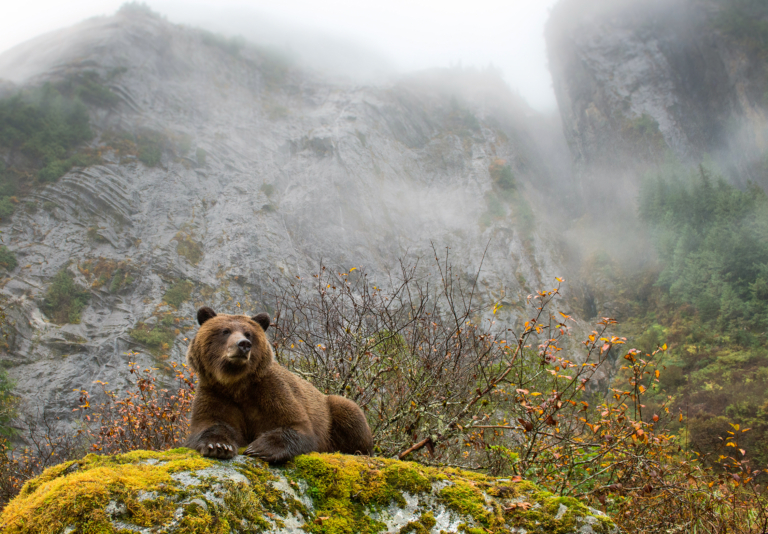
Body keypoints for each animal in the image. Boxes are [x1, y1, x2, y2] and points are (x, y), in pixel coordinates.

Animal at [182, 308, 370, 462]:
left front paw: (260, 448)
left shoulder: (271, 391)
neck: (236, 383)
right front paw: (219, 446)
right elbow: (210, 422)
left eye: (248, 333)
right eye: (225, 331)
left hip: (330, 410)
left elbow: (296, 424)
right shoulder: (215, 391)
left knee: (348, 412)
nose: (243, 344)